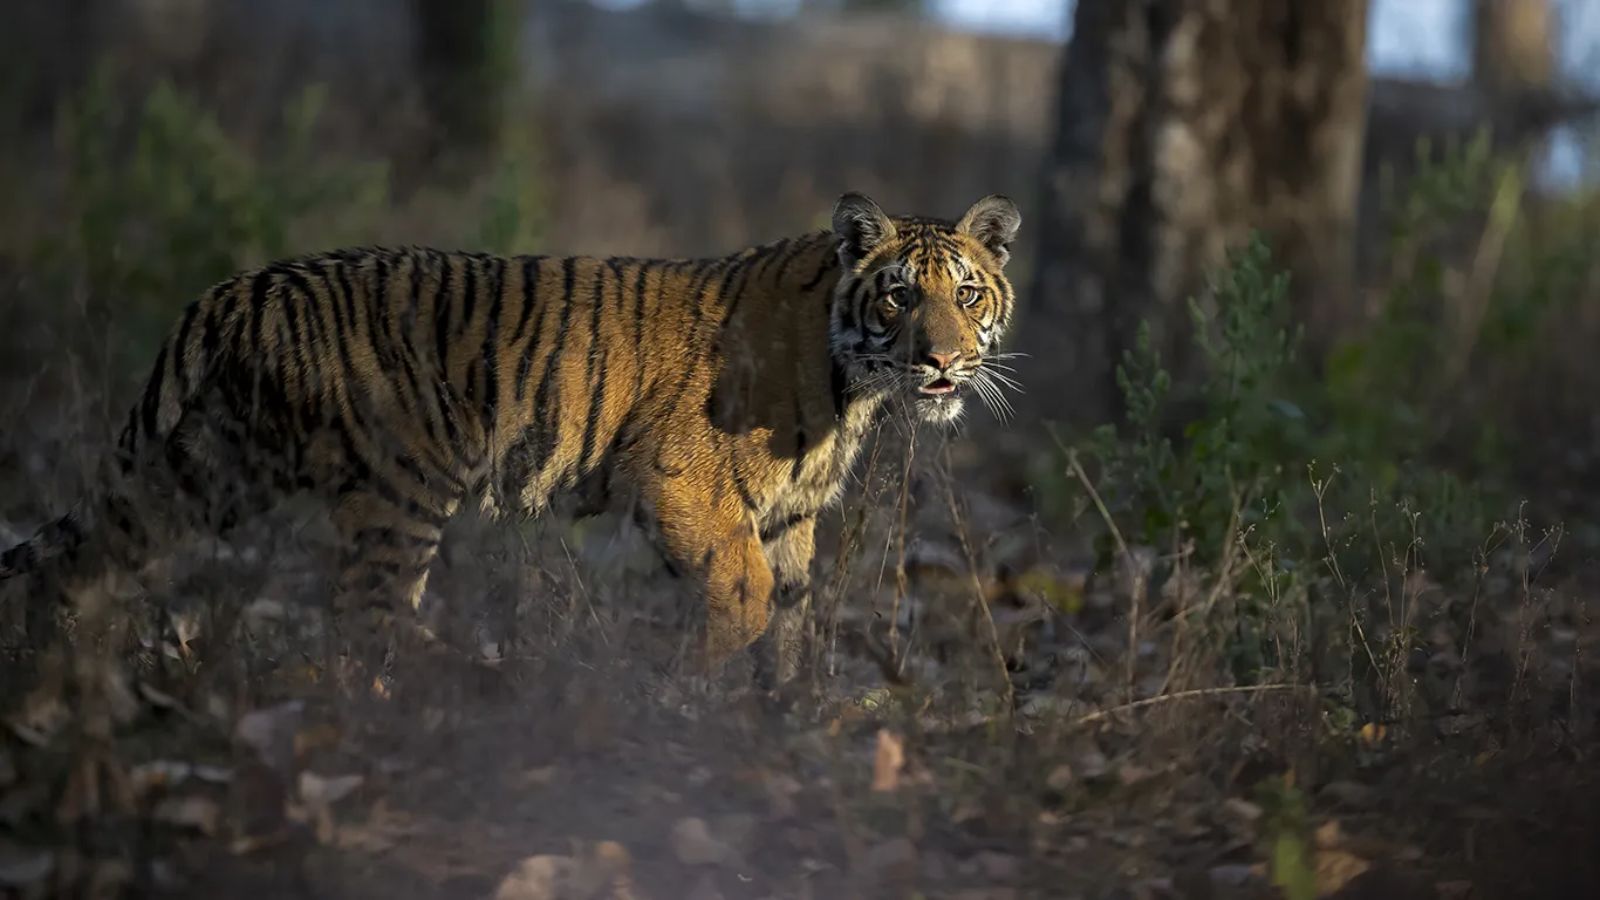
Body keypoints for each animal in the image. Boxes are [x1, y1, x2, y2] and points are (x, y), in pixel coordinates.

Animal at [0, 192, 1022, 687]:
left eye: (967, 293)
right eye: (899, 295)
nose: (943, 361)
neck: (857, 390)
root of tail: (242, 286)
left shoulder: (791, 518)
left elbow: (796, 628)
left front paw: (788, 738)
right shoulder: (684, 481)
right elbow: (748, 600)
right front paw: (680, 693)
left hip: (214, 466)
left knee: (82, 551)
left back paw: (51, 671)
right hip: (401, 487)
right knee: (363, 620)